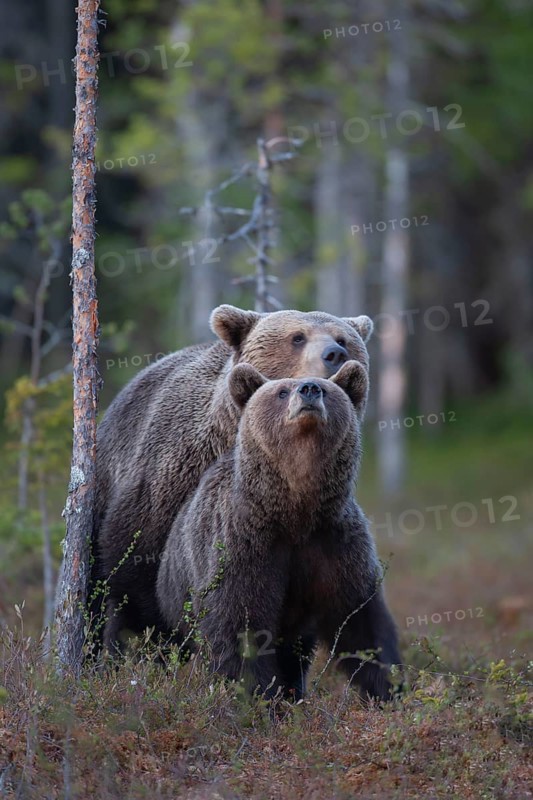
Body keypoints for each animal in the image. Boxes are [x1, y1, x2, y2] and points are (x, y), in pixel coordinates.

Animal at [156, 360, 401, 702]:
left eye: (326, 389)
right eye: (282, 391)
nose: (309, 389)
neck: (295, 512)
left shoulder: (335, 543)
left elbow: (361, 620)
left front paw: (388, 688)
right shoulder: (245, 543)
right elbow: (240, 624)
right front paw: (256, 694)